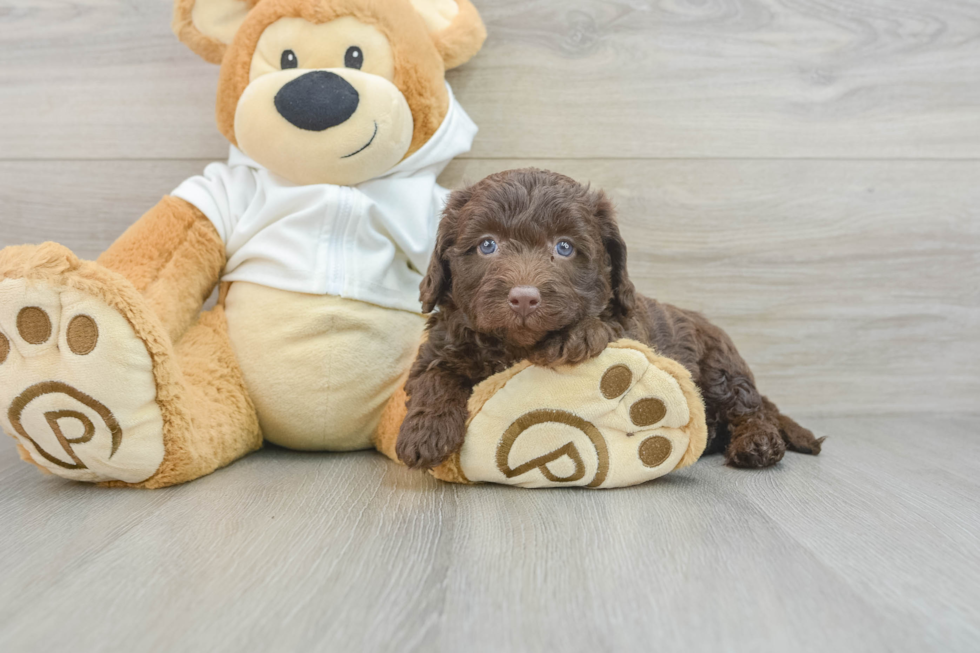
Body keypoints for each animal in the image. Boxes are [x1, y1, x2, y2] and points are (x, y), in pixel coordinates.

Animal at [394, 169, 824, 468]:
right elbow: (433, 378)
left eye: (564, 247)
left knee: (750, 409)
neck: (514, 346)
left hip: (720, 368)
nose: (524, 298)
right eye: (487, 245)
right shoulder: (441, 345)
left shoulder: (630, 324)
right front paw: (425, 434)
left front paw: (576, 336)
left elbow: (606, 323)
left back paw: (757, 444)